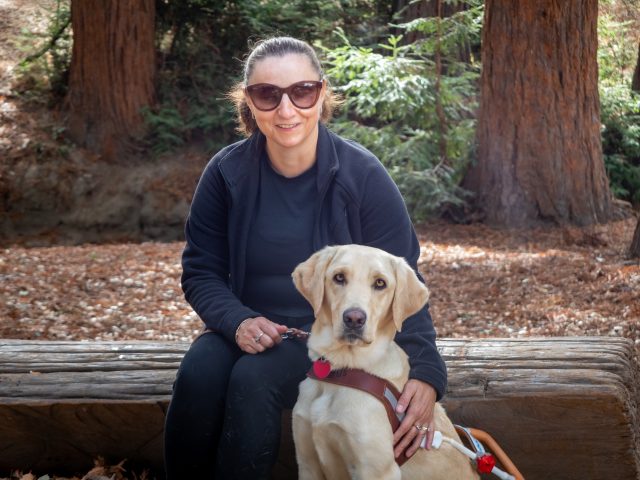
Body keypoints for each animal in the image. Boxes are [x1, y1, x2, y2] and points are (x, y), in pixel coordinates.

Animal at [292, 246, 478, 480]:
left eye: (380, 283)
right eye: (339, 277)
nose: (354, 319)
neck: (342, 370)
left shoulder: (376, 470)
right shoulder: (307, 463)